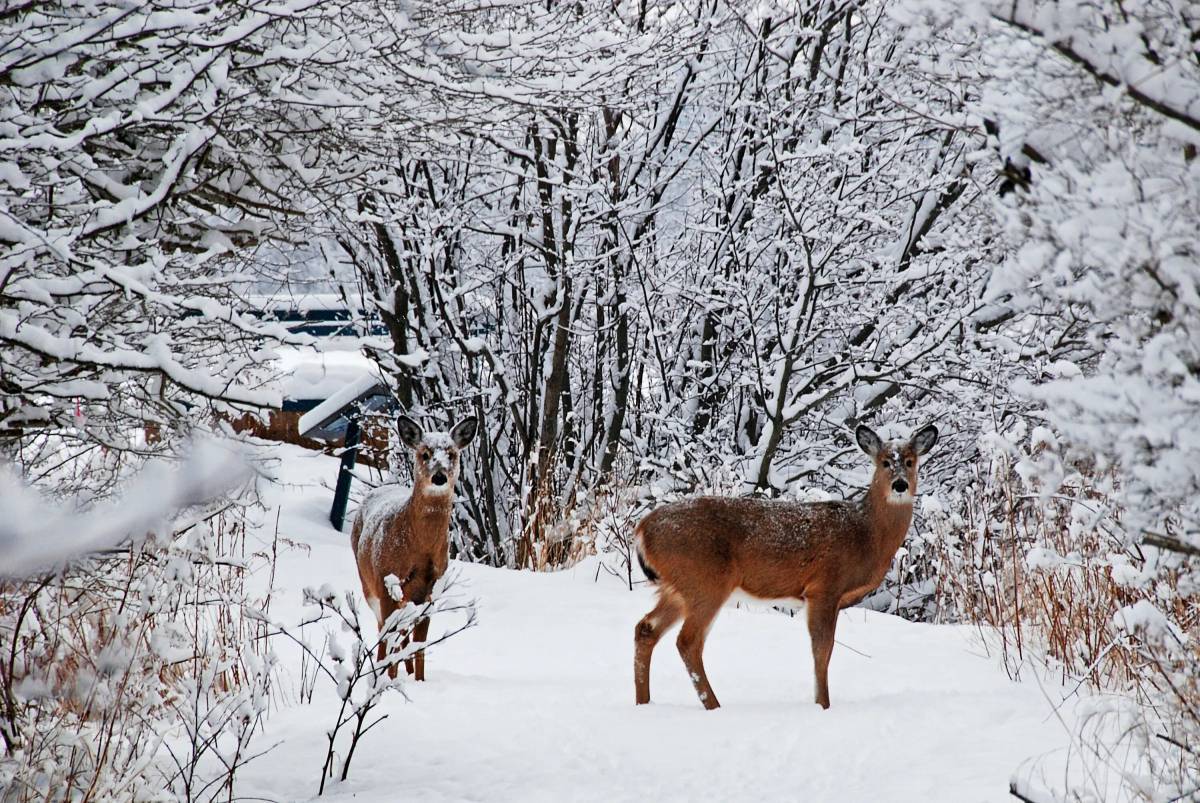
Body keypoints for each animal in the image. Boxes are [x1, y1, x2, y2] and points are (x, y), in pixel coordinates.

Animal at [350, 412, 475, 676]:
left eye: (452, 454)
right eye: (424, 453)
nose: (439, 476)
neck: (419, 548)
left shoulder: (431, 589)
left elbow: (419, 645)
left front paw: (418, 680)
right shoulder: (386, 581)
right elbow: (391, 638)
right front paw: (387, 679)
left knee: (403, 636)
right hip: (369, 585)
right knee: (385, 633)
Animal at [633, 420, 940, 705]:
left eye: (910, 461)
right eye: (885, 461)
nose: (899, 484)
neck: (866, 534)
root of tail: (642, 530)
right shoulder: (824, 587)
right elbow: (822, 652)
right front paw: (823, 705)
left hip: (678, 586)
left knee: (646, 629)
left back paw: (644, 702)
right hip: (705, 581)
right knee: (687, 641)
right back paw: (714, 706)